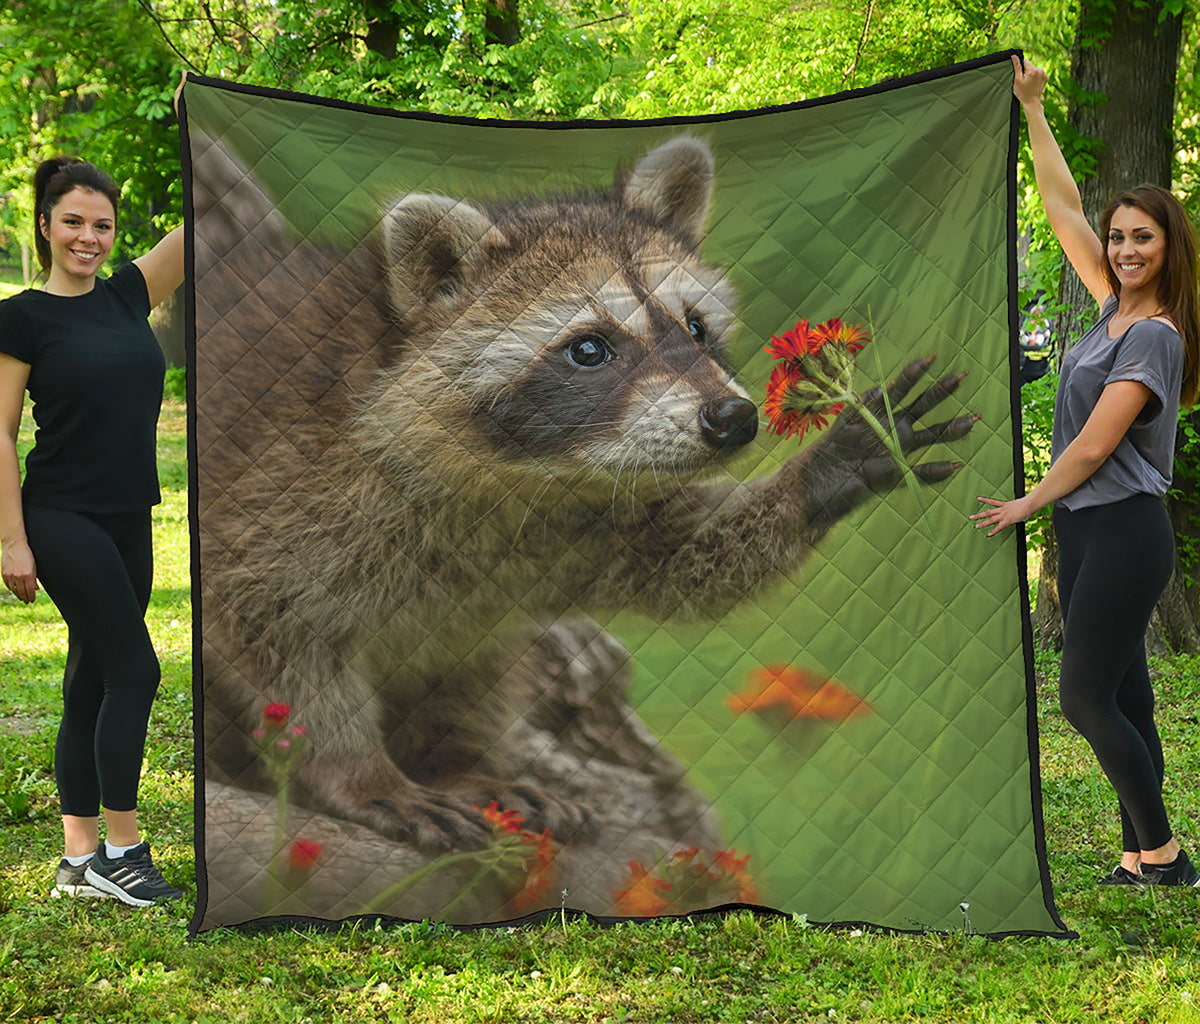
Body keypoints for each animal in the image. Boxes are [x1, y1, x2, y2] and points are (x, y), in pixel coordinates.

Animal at [193, 135, 975, 851]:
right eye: (590, 348)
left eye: (696, 327)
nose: (732, 419)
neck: (517, 477)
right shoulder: (286, 489)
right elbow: (276, 635)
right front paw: (358, 771)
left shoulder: (577, 518)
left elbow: (678, 555)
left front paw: (821, 472)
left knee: (474, 663)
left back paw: (462, 756)